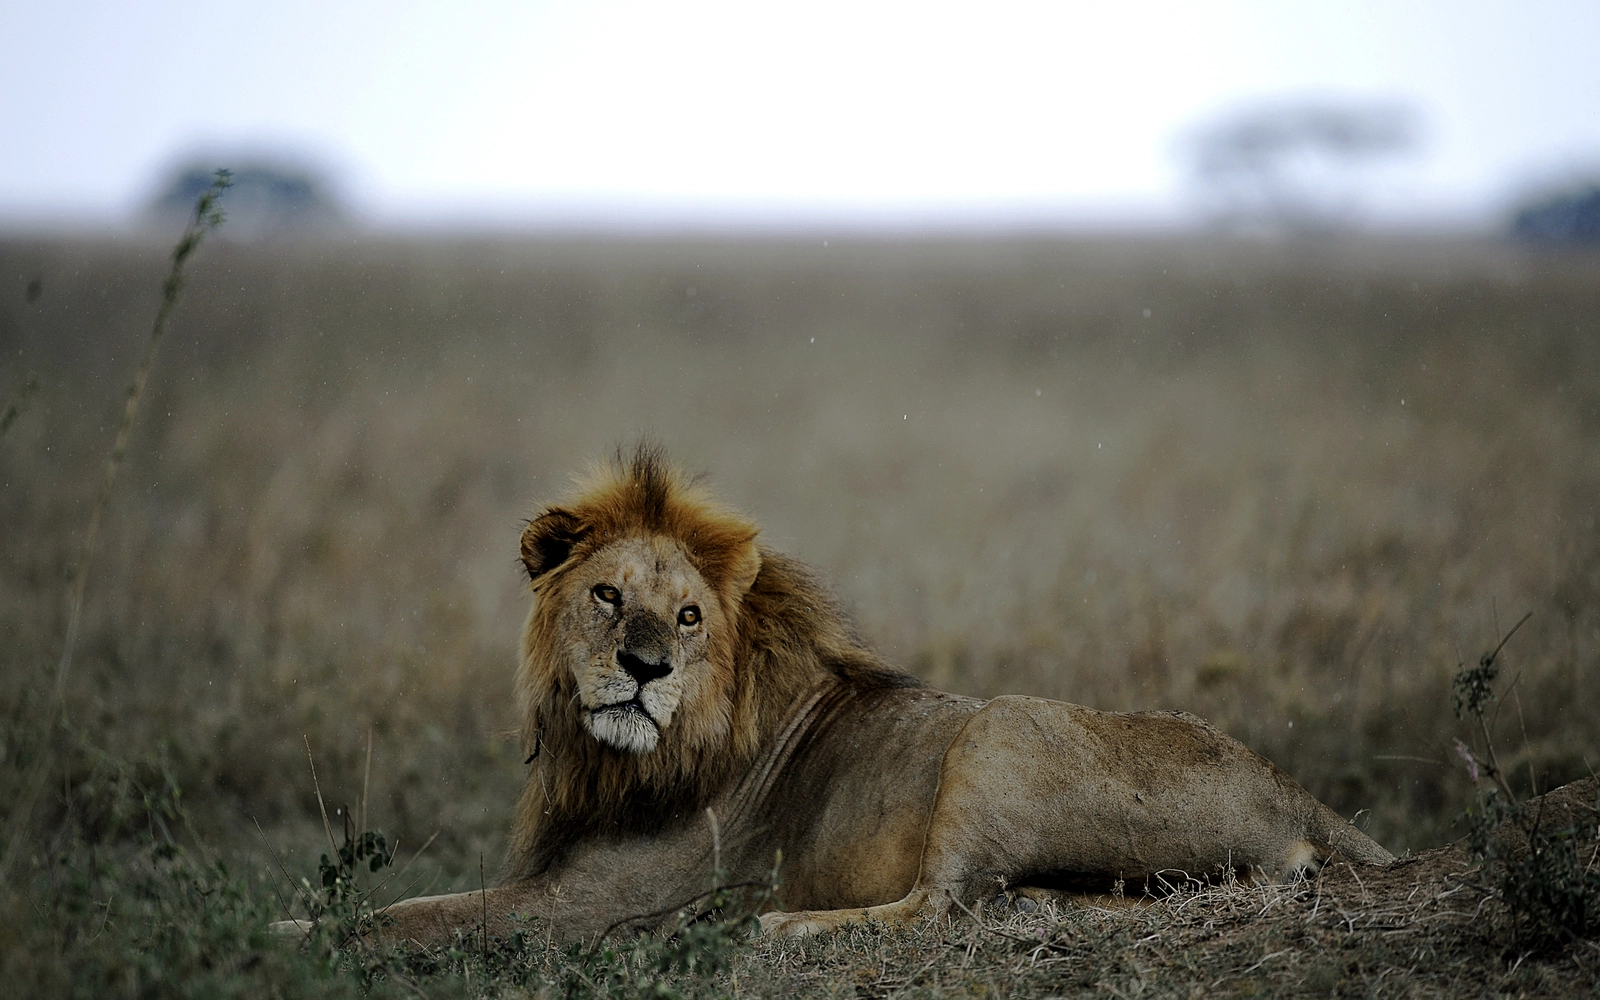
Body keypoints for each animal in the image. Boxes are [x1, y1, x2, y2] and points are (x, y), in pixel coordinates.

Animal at [283, 445, 1392, 945]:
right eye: (607, 596)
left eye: (689, 617)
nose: (645, 670)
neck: (605, 758)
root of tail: (1298, 794)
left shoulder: (592, 904)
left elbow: (409, 913)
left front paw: (295, 932)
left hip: (999, 728)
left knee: (938, 905)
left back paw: (780, 927)